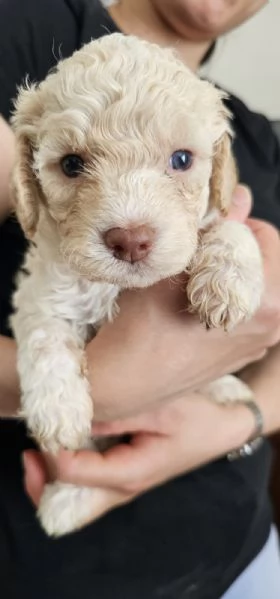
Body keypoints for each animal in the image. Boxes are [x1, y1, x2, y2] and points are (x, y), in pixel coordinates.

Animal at [9, 34, 264, 540]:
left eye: (181, 160)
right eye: (71, 165)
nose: (130, 239)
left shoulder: (222, 215)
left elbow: (230, 226)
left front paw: (227, 280)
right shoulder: (42, 288)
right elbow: (45, 333)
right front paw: (57, 409)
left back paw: (229, 388)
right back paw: (67, 500)